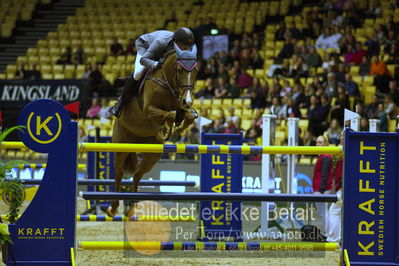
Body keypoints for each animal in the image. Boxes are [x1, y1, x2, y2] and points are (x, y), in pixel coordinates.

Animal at [107, 44, 199, 217]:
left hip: (152, 154)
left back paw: (133, 206)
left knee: (137, 174)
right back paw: (113, 208)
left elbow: (188, 116)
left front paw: (178, 128)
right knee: (118, 173)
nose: (188, 101)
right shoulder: (149, 110)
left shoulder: (181, 106)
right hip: (121, 146)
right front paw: (168, 128)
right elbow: (169, 114)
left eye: (196, 70)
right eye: (180, 70)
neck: (167, 83)